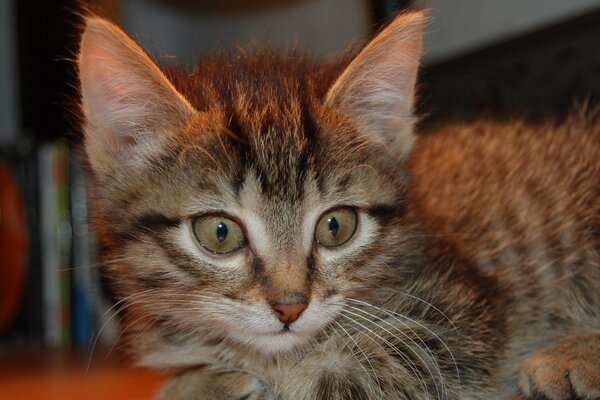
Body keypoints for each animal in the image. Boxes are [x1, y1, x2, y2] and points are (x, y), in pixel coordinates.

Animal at [78, 10, 600, 398]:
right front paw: (199, 381)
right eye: (220, 233)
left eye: (336, 227)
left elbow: (330, 381)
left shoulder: (455, 326)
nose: (290, 308)